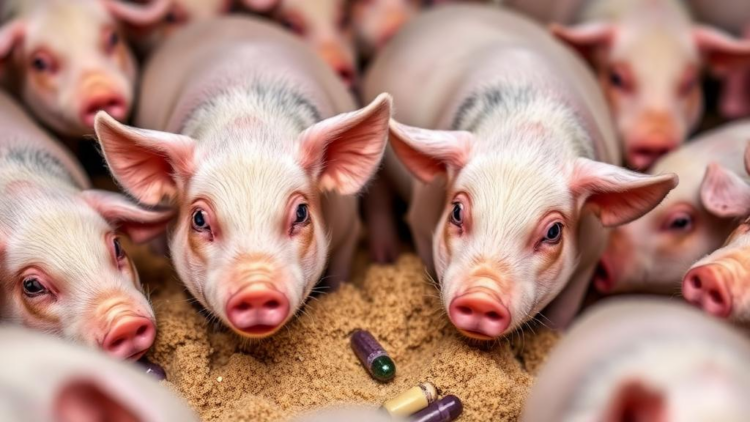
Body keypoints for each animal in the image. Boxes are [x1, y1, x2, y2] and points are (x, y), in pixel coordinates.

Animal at [363, 4, 677, 339]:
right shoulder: (422, 221)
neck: (527, 135)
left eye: (553, 232)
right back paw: (384, 257)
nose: (480, 297)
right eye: (457, 211)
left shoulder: (591, 257)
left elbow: (564, 313)